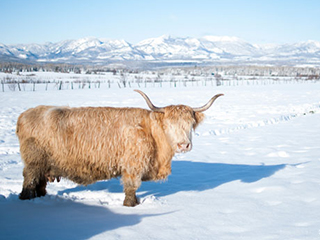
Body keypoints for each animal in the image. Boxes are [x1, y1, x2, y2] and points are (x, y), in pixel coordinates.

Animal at [16, 90, 222, 206]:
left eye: (190, 124)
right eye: (169, 124)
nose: (183, 145)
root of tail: (26, 114)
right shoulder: (133, 165)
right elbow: (131, 187)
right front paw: (131, 205)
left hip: (43, 165)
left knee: (40, 182)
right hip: (34, 162)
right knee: (29, 180)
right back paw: (26, 199)